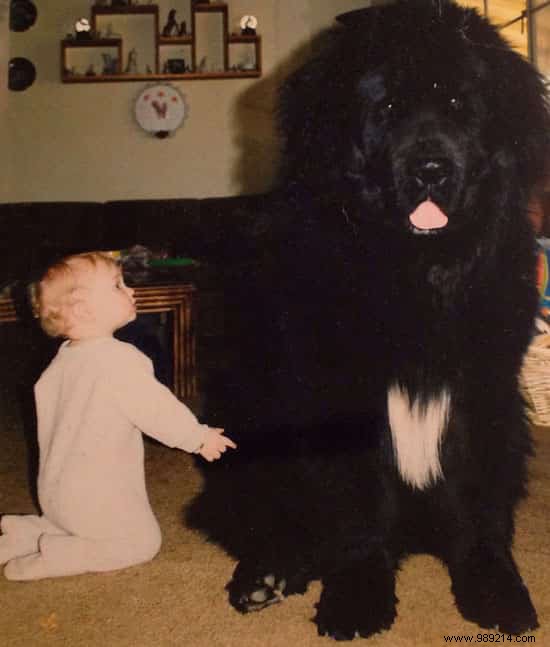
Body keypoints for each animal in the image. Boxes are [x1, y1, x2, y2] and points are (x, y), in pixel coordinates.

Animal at [187, 0, 550, 636]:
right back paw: (266, 576)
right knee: (259, 519)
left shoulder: (484, 391)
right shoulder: (339, 393)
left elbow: (479, 504)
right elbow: (355, 511)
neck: (416, 271)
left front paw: (495, 589)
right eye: (387, 109)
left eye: (461, 106)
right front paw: (357, 597)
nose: (431, 169)